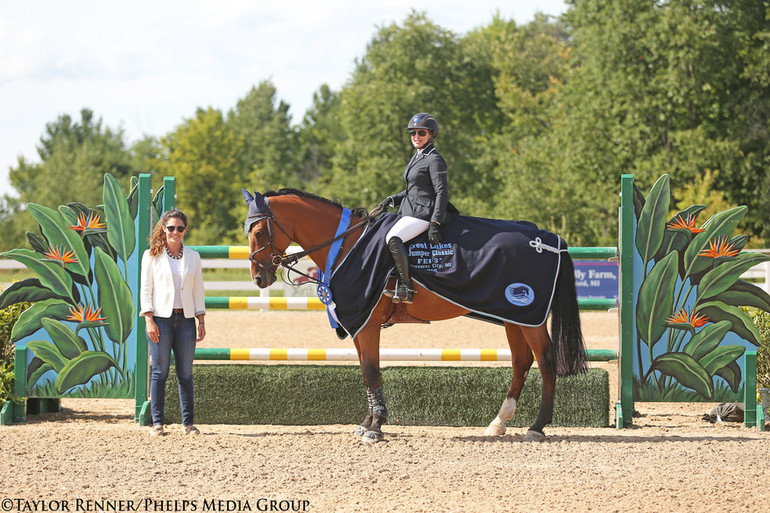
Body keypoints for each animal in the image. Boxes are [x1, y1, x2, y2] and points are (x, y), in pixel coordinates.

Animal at [243, 187, 584, 440]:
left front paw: (375, 427)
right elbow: (367, 373)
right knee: (521, 362)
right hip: (514, 316)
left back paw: (537, 427)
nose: (259, 278)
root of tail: (547, 239)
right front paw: (368, 422)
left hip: (530, 317)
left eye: (258, 230)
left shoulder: (367, 322)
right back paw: (498, 422)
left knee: (546, 362)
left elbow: (371, 370)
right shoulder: (361, 322)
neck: (346, 244)